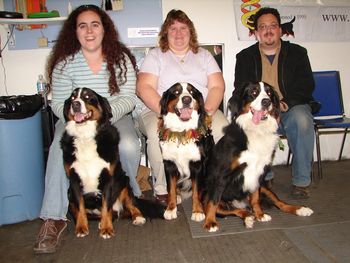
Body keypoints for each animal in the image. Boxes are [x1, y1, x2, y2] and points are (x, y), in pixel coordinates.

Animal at [60, 87, 164, 239]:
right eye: (72, 98)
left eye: (87, 96)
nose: (76, 105)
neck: (86, 136)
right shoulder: (74, 180)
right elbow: (80, 208)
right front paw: (81, 227)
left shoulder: (109, 178)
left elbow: (106, 206)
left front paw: (106, 229)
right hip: (69, 196)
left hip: (123, 182)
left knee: (130, 205)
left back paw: (138, 217)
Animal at [158, 82, 213, 223]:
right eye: (176, 92)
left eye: (192, 93)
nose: (187, 99)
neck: (181, 133)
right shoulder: (169, 164)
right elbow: (171, 189)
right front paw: (171, 209)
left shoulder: (197, 165)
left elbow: (196, 192)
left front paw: (198, 211)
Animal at [201, 82, 314, 233]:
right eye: (253, 93)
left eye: (269, 93)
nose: (266, 102)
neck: (257, 131)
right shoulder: (221, 175)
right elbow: (213, 203)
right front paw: (210, 222)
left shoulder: (258, 173)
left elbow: (255, 197)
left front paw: (260, 214)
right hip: (209, 194)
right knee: (230, 209)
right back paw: (247, 217)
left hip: (265, 188)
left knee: (279, 203)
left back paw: (300, 209)